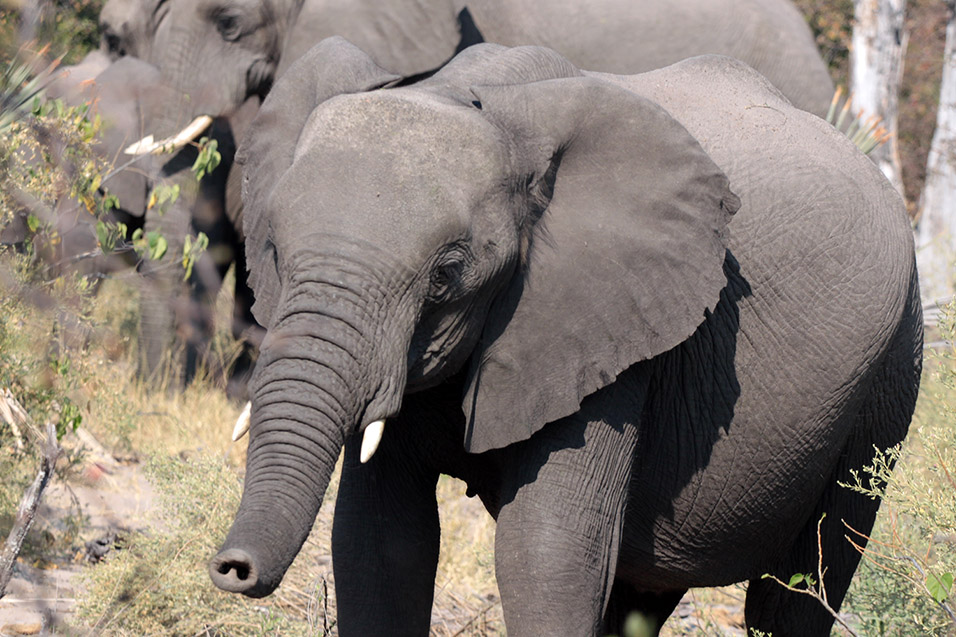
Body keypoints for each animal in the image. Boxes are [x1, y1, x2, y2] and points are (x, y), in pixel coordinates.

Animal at [207, 39, 920, 636]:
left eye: (446, 273)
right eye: (274, 250)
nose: (231, 568)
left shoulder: (613, 322)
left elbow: (546, 554)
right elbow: (379, 544)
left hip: (887, 378)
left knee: (803, 585)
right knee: (639, 590)